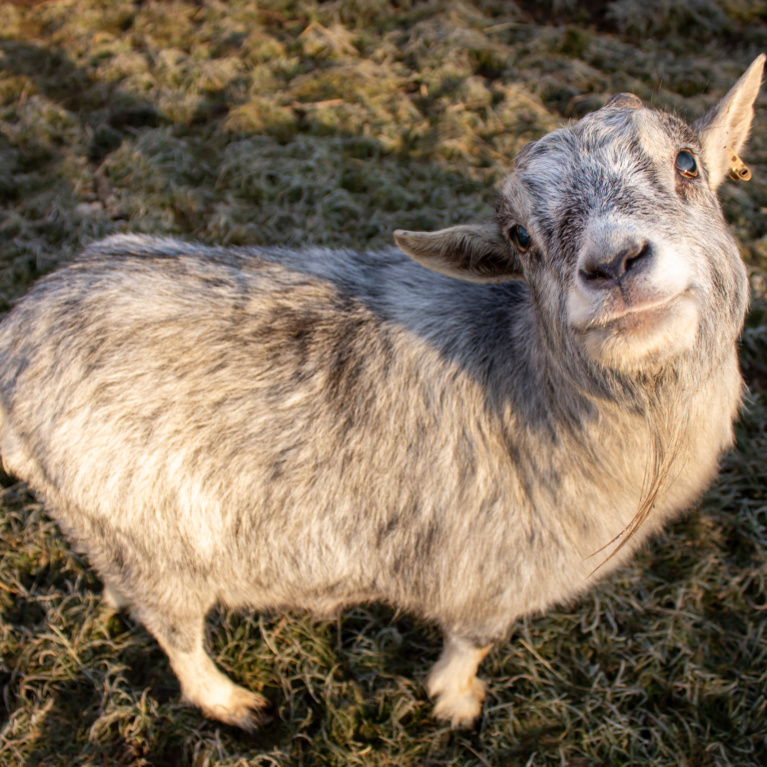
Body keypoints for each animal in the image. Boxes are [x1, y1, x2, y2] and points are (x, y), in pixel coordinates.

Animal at [0, 56, 762, 730]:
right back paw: (230, 701)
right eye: (520, 236)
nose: (613, 263)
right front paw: (456, 700)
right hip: (159, 547)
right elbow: (471, 641)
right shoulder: (495, 575)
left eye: (686, 163)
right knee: (176, 634)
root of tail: (19, 335)